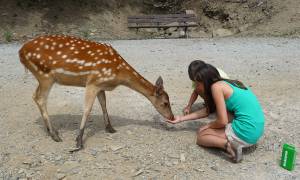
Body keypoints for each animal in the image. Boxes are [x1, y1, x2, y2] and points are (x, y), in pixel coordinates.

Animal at [18, 34, 173, 151]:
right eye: (165, 103)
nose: (171, 117)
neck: (118, 73)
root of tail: (21, 52)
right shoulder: (93, 82)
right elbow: (87, 109)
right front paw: (78, 142)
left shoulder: (100, 85)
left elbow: (104, 104)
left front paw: (110, 128)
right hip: (45, 75)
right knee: (40, 98)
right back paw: (55, 135)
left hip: (43, 77)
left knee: (35, 96)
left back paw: (50, 130)